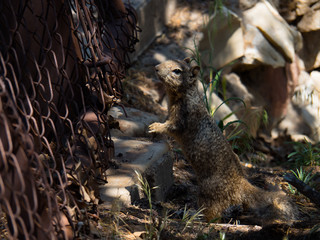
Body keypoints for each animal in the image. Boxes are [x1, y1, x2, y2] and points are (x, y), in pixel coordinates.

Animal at [149, 57, 296, 225]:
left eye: (177, 71)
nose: (156, 67)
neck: (186, 95)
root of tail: (240, 186)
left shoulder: (182, 119)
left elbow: (170, 127)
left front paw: (156, 126)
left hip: (208, 194)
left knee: (213, 215)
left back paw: (195, 216)